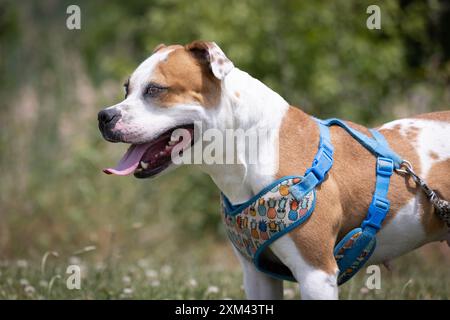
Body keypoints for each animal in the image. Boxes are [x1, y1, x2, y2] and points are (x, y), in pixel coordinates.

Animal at [98, 41, 450, 298]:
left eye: (155, 90)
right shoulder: (257, 275)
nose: (104, 116)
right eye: (126, 88)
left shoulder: (316, 274)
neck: (249, 150)